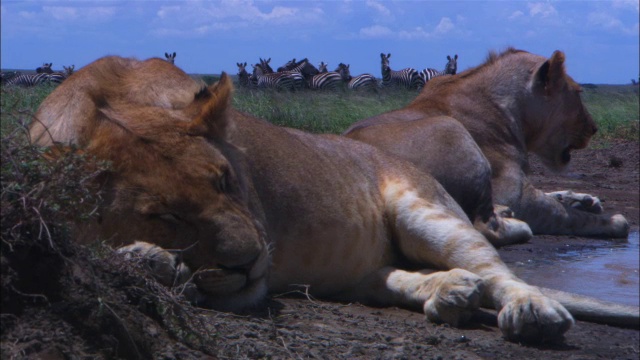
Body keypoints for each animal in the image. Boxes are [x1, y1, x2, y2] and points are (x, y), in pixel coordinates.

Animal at [344, 47, 632, 245]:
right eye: (578, 93)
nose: (594, 128)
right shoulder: (515, 194)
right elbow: (565, 214)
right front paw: (612, 221)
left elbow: (554, 195)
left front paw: (586, 199)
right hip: (451, 129)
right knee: (484, 227)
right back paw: (516, 222)